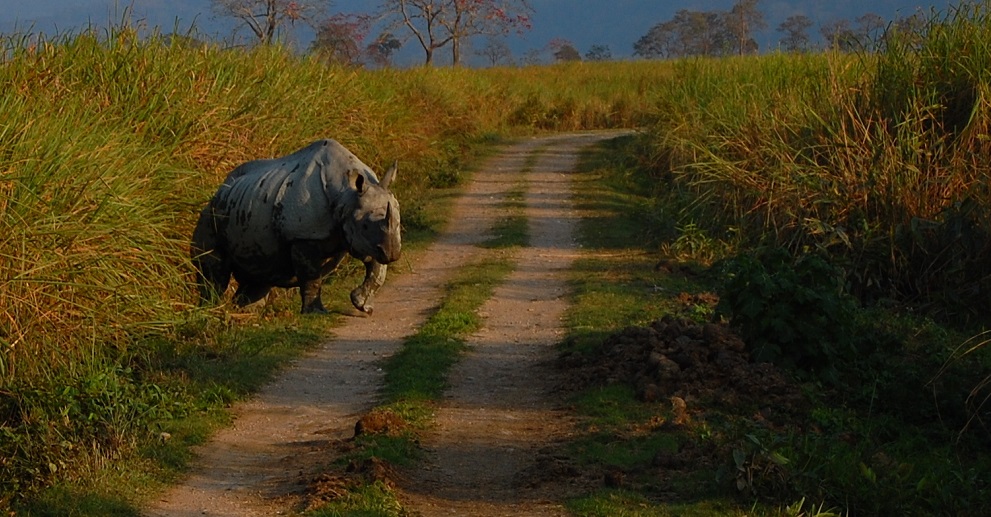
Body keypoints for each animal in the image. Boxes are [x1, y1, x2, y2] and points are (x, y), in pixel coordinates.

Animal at [192, 138, 402, 314]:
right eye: (365, 225)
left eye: (398, 223)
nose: (393, 253)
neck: (345, 194)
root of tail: (219, 190)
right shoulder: (304, 235)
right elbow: (311, 276)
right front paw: (315, 313)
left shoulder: (367, 239)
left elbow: (377, 270)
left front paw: (362, 305)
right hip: (211, 214)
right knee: (215, 272)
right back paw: (210, 310)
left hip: (246, 203)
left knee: (259, 275)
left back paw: (245, 314)